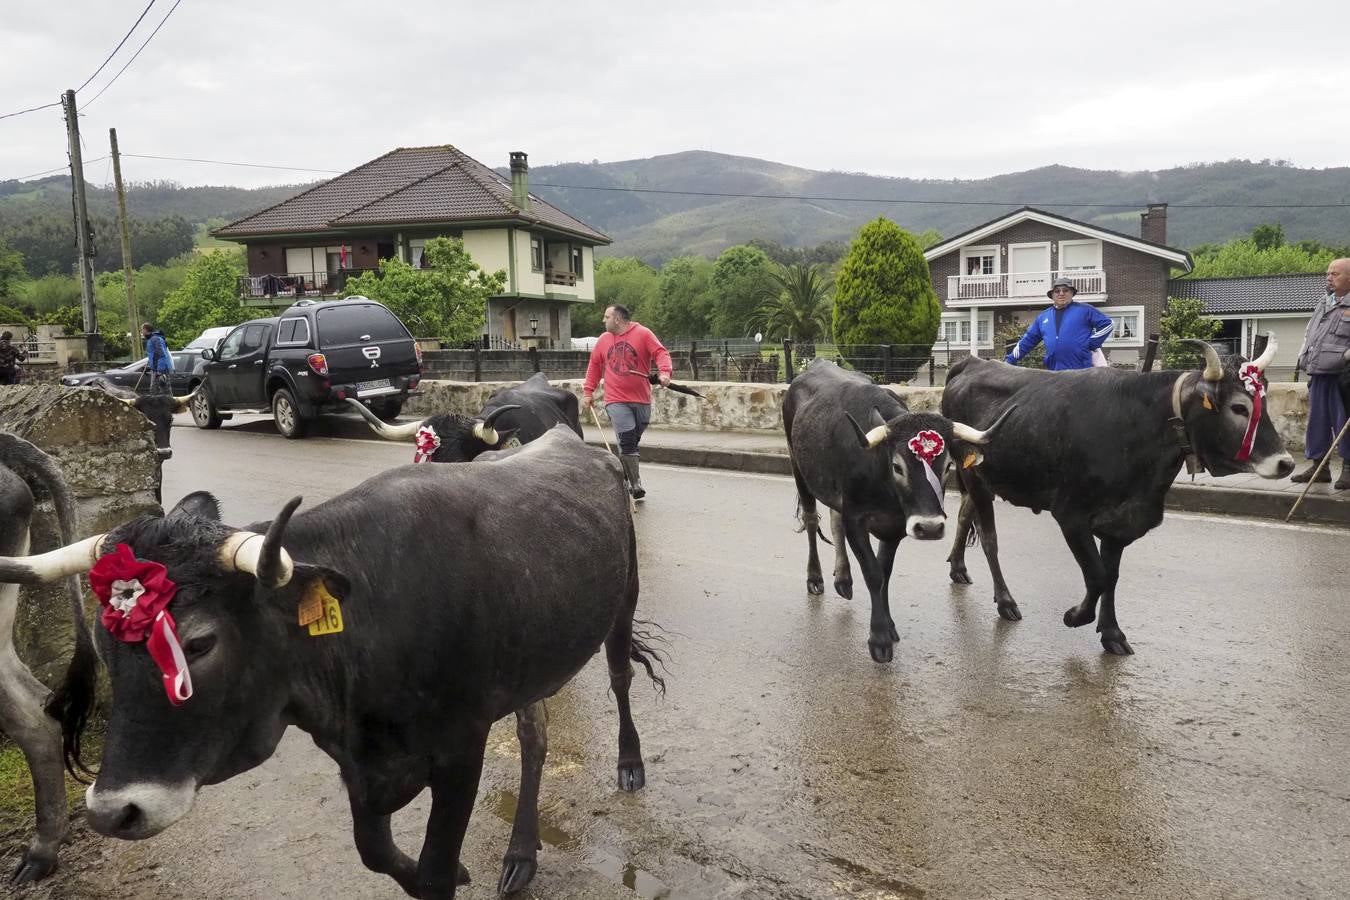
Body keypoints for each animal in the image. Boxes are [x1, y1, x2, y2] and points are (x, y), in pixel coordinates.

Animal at [0, 431, 658, 900]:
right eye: (105, 647)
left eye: (200, 643)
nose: (113, 811)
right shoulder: (357, 762)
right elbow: (377, 853)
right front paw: (451, 872)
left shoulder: (461, 749)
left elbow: (434, 873)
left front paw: (448, 872)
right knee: (534, 735)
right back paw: (521, 853)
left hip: (623, 601)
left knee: (621, 679)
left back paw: (629, 765)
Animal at [783, 356, 1015, 661]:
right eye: (897, 466)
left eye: (948, 466)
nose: (930, 527)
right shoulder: (856, 519)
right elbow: (872, 572)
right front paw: (879, 637)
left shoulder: (894, 527)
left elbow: (885, 573)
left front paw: (890, 627)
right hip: (798, 468)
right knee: (811, 519)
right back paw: (815, 577)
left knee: (833, 519)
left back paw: (844, 578)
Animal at [945, 337, 1290, 655]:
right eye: (1238, 407)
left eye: (1264, 402)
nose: (1285, 463)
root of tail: (973, 362)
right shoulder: (1070, 514)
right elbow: (1097, 576)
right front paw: (1076, 616)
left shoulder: (1121, 523)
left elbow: (1111, 577)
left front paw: (1112, 633)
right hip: (976, 479)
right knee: (989, 539)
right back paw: (1005, 601)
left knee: (964, 515)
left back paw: (958, 568)